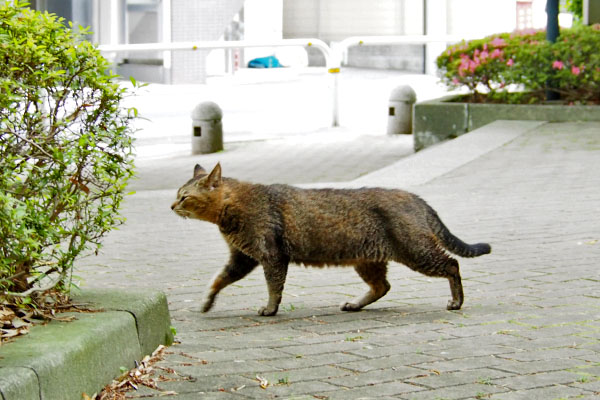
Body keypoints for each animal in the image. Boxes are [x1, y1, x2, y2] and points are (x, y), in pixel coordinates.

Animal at [171, 162, 490, 316]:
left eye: (184, 197)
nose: (172, 206)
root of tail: (416, 197)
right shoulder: (243, 257)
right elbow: (219, 279)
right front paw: (207, 303)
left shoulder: (271, 255)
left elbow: (274, 287)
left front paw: (270, 310)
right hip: (369, 261)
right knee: (383, 286)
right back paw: (354, 305)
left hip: (417, 251)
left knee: (452, 265)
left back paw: (456, 302)